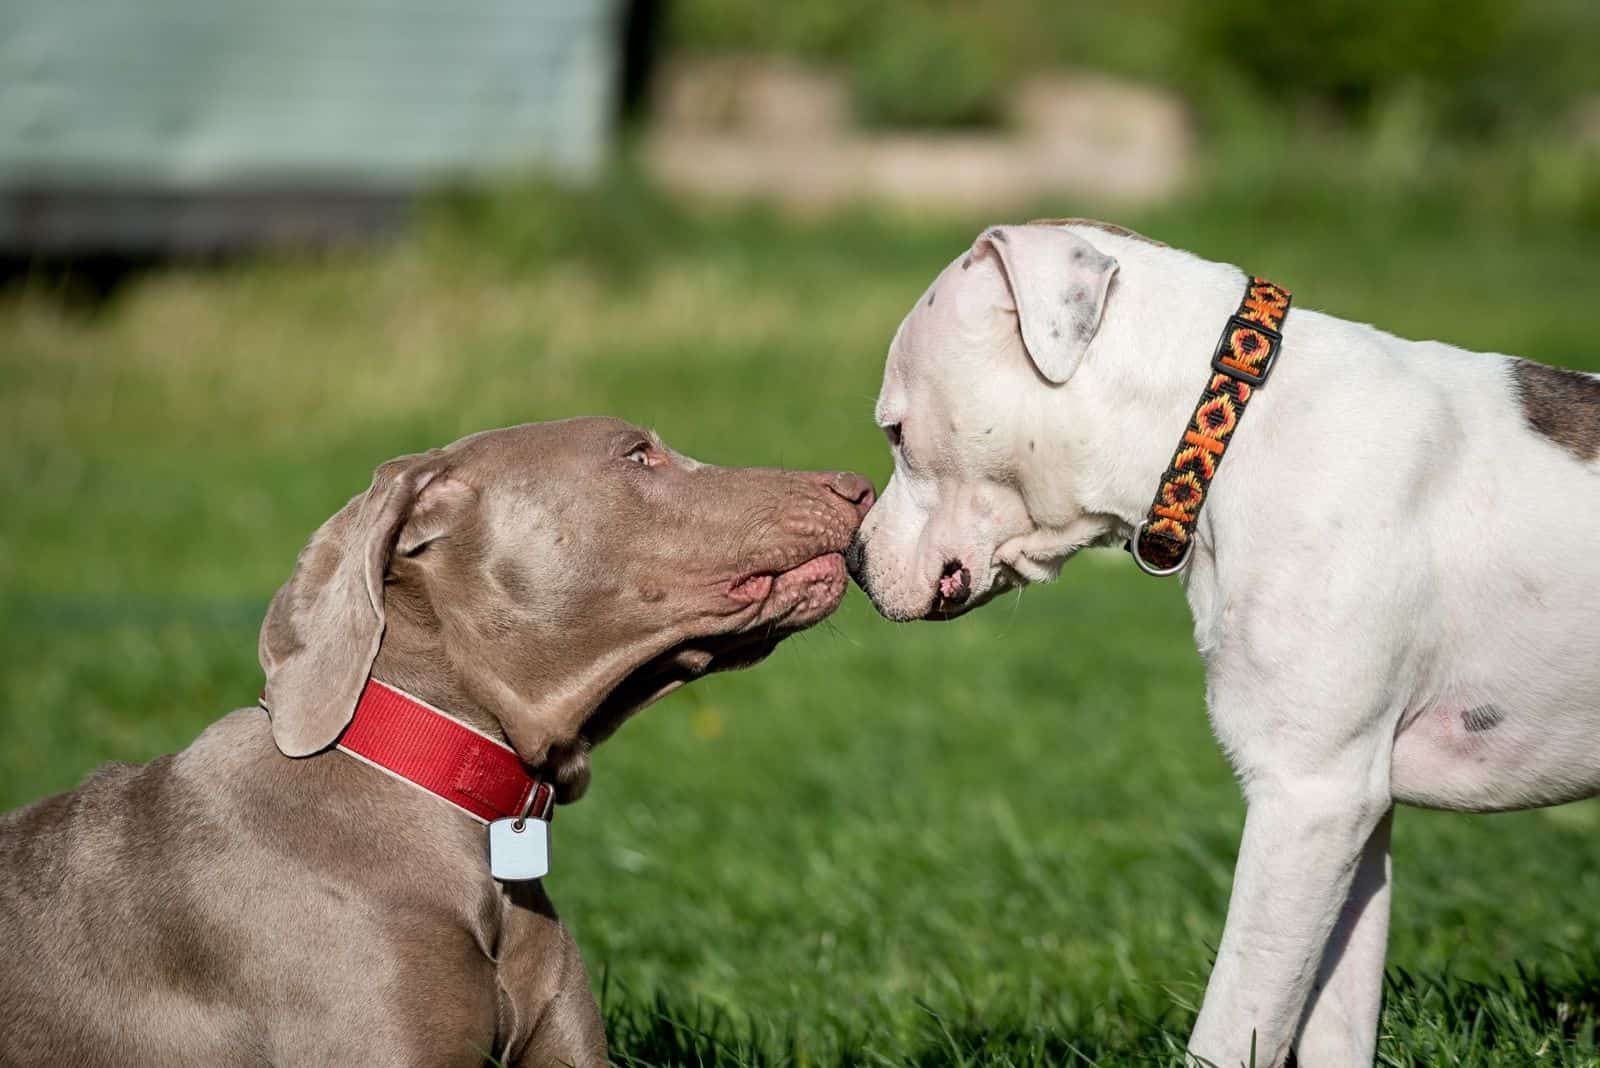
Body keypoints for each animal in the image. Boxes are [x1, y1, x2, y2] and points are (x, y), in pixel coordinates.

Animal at [851, 219, 1600, 1068]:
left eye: (896, 432)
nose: (854, 559)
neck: (1233, 430)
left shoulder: (1305, 798)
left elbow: (1235, 1014)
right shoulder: (1353, 809)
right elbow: (1331, 1015)